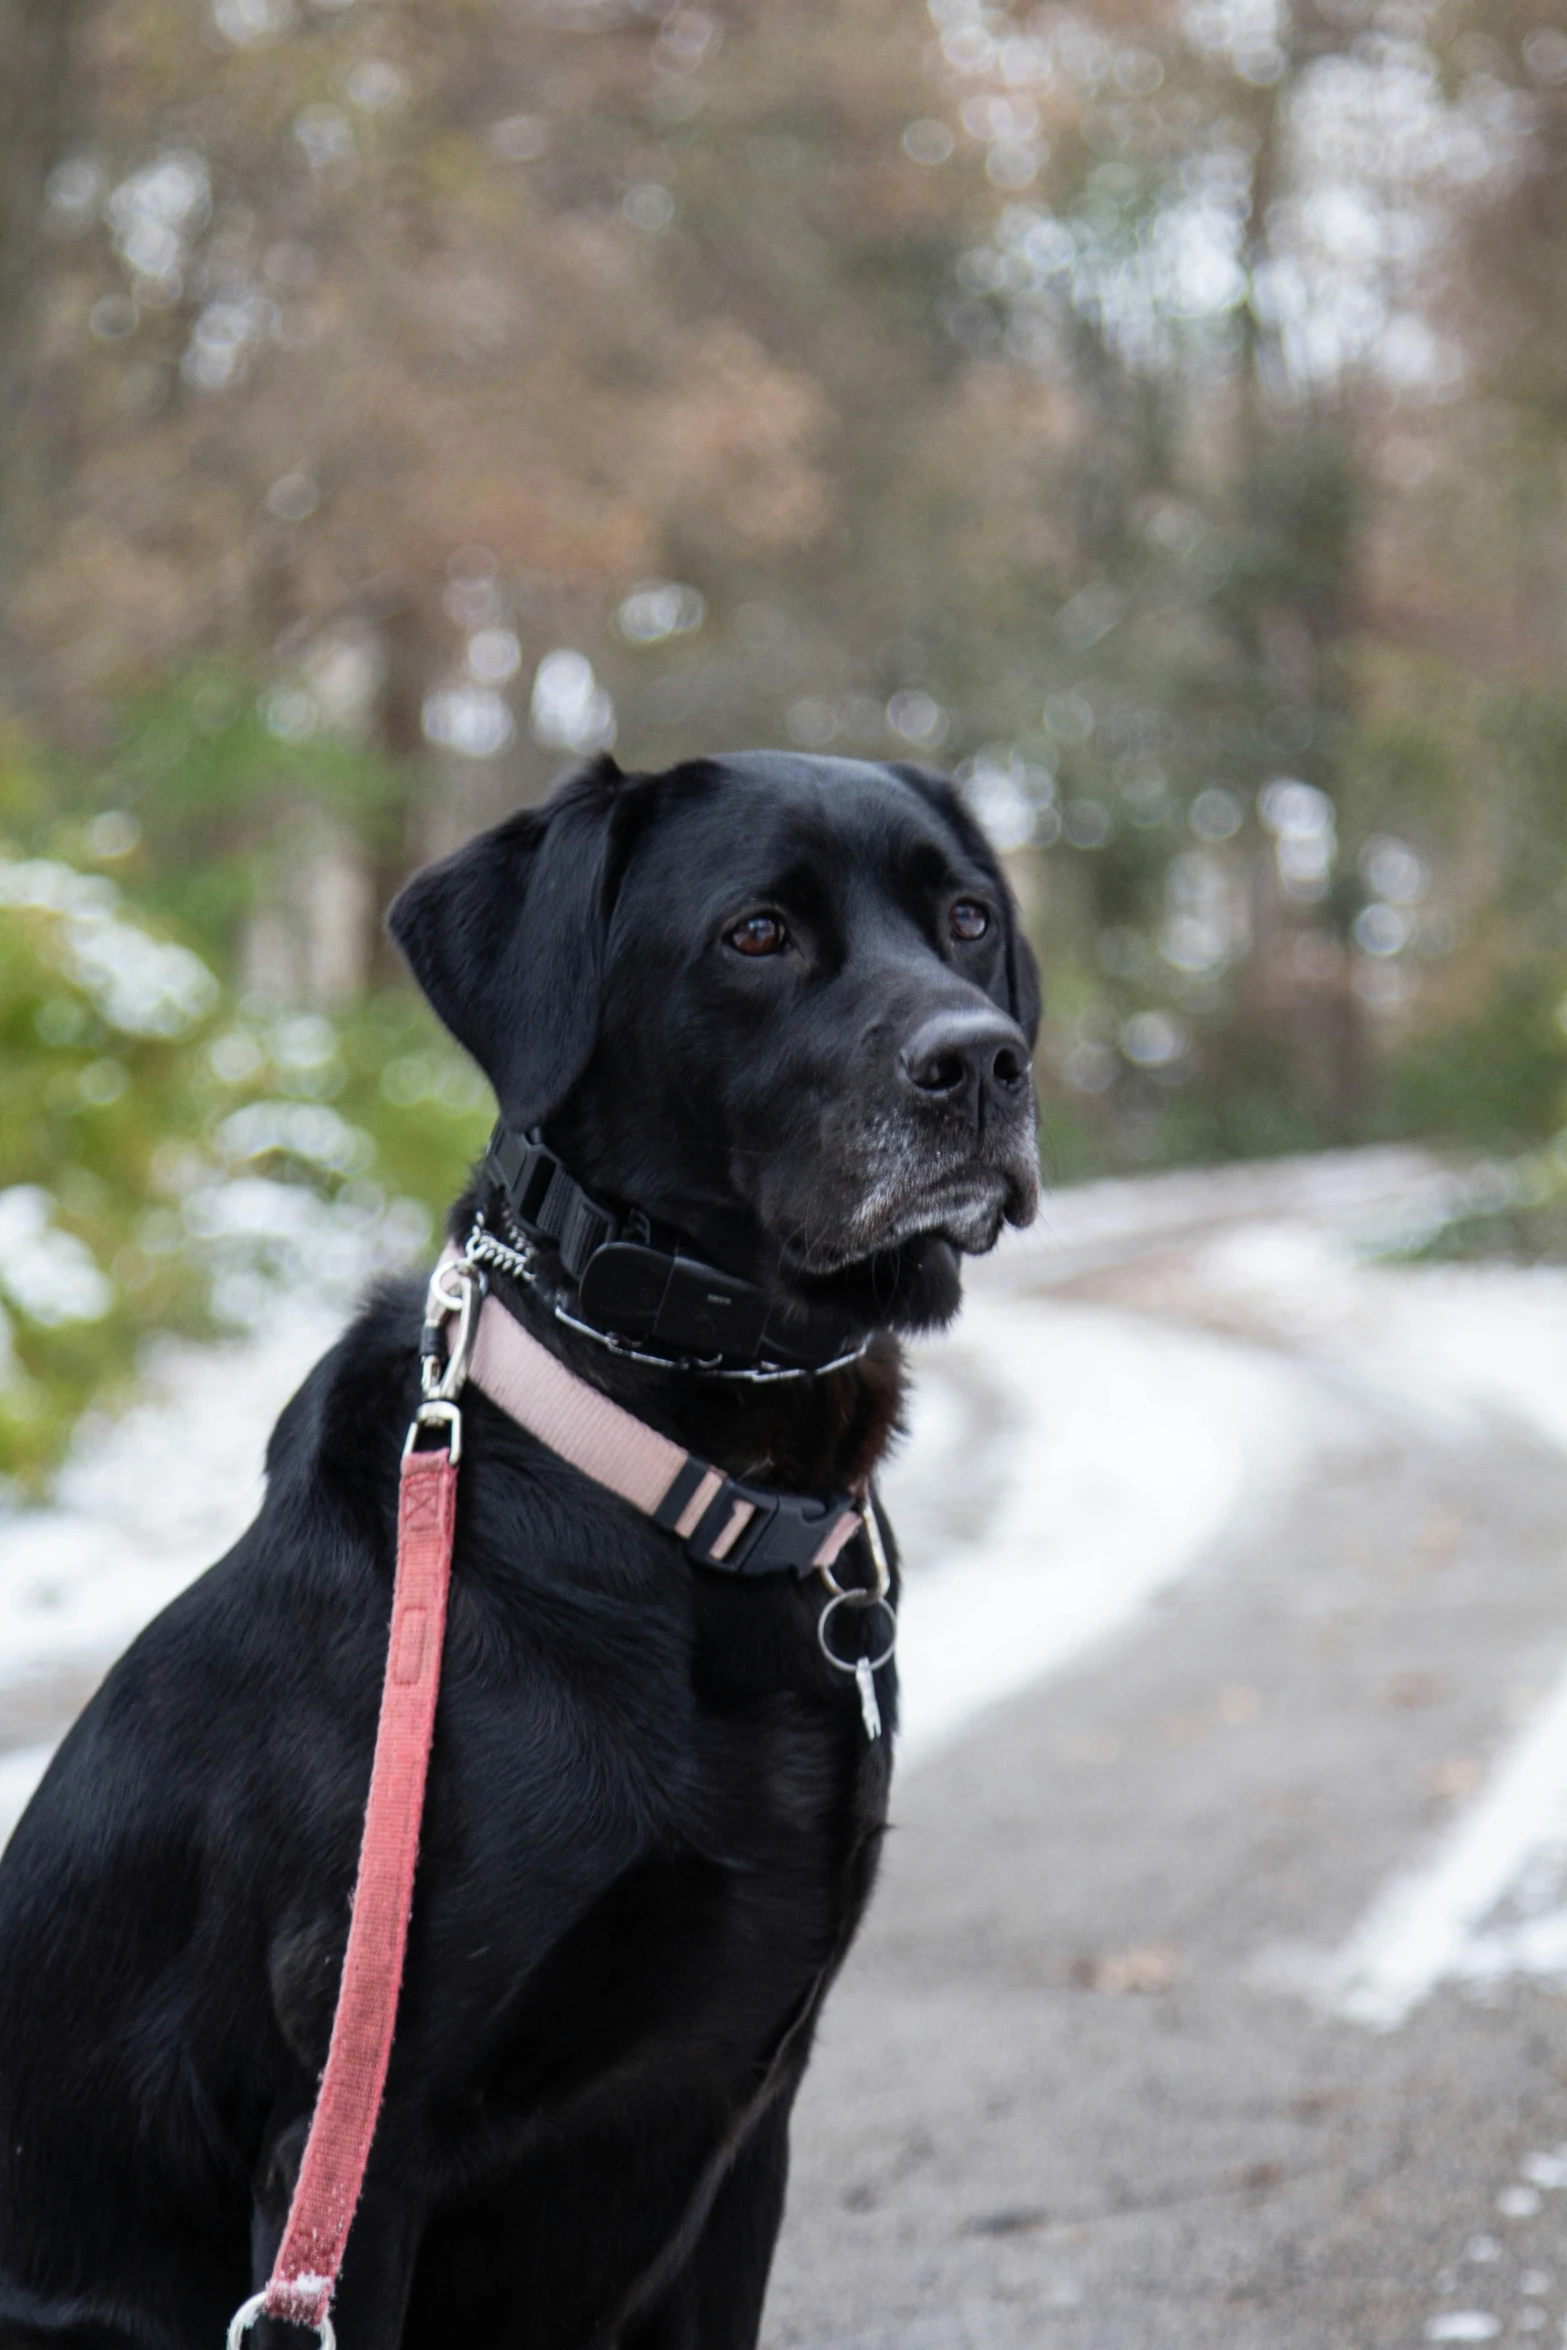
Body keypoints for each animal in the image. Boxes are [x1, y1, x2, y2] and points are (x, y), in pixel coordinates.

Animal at [0, 752, 1043, 2350]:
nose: (983, 1062)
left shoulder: (743, 2118)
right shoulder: (347, 2144)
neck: (692, 1487)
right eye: (755, 934)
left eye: (968, 917)